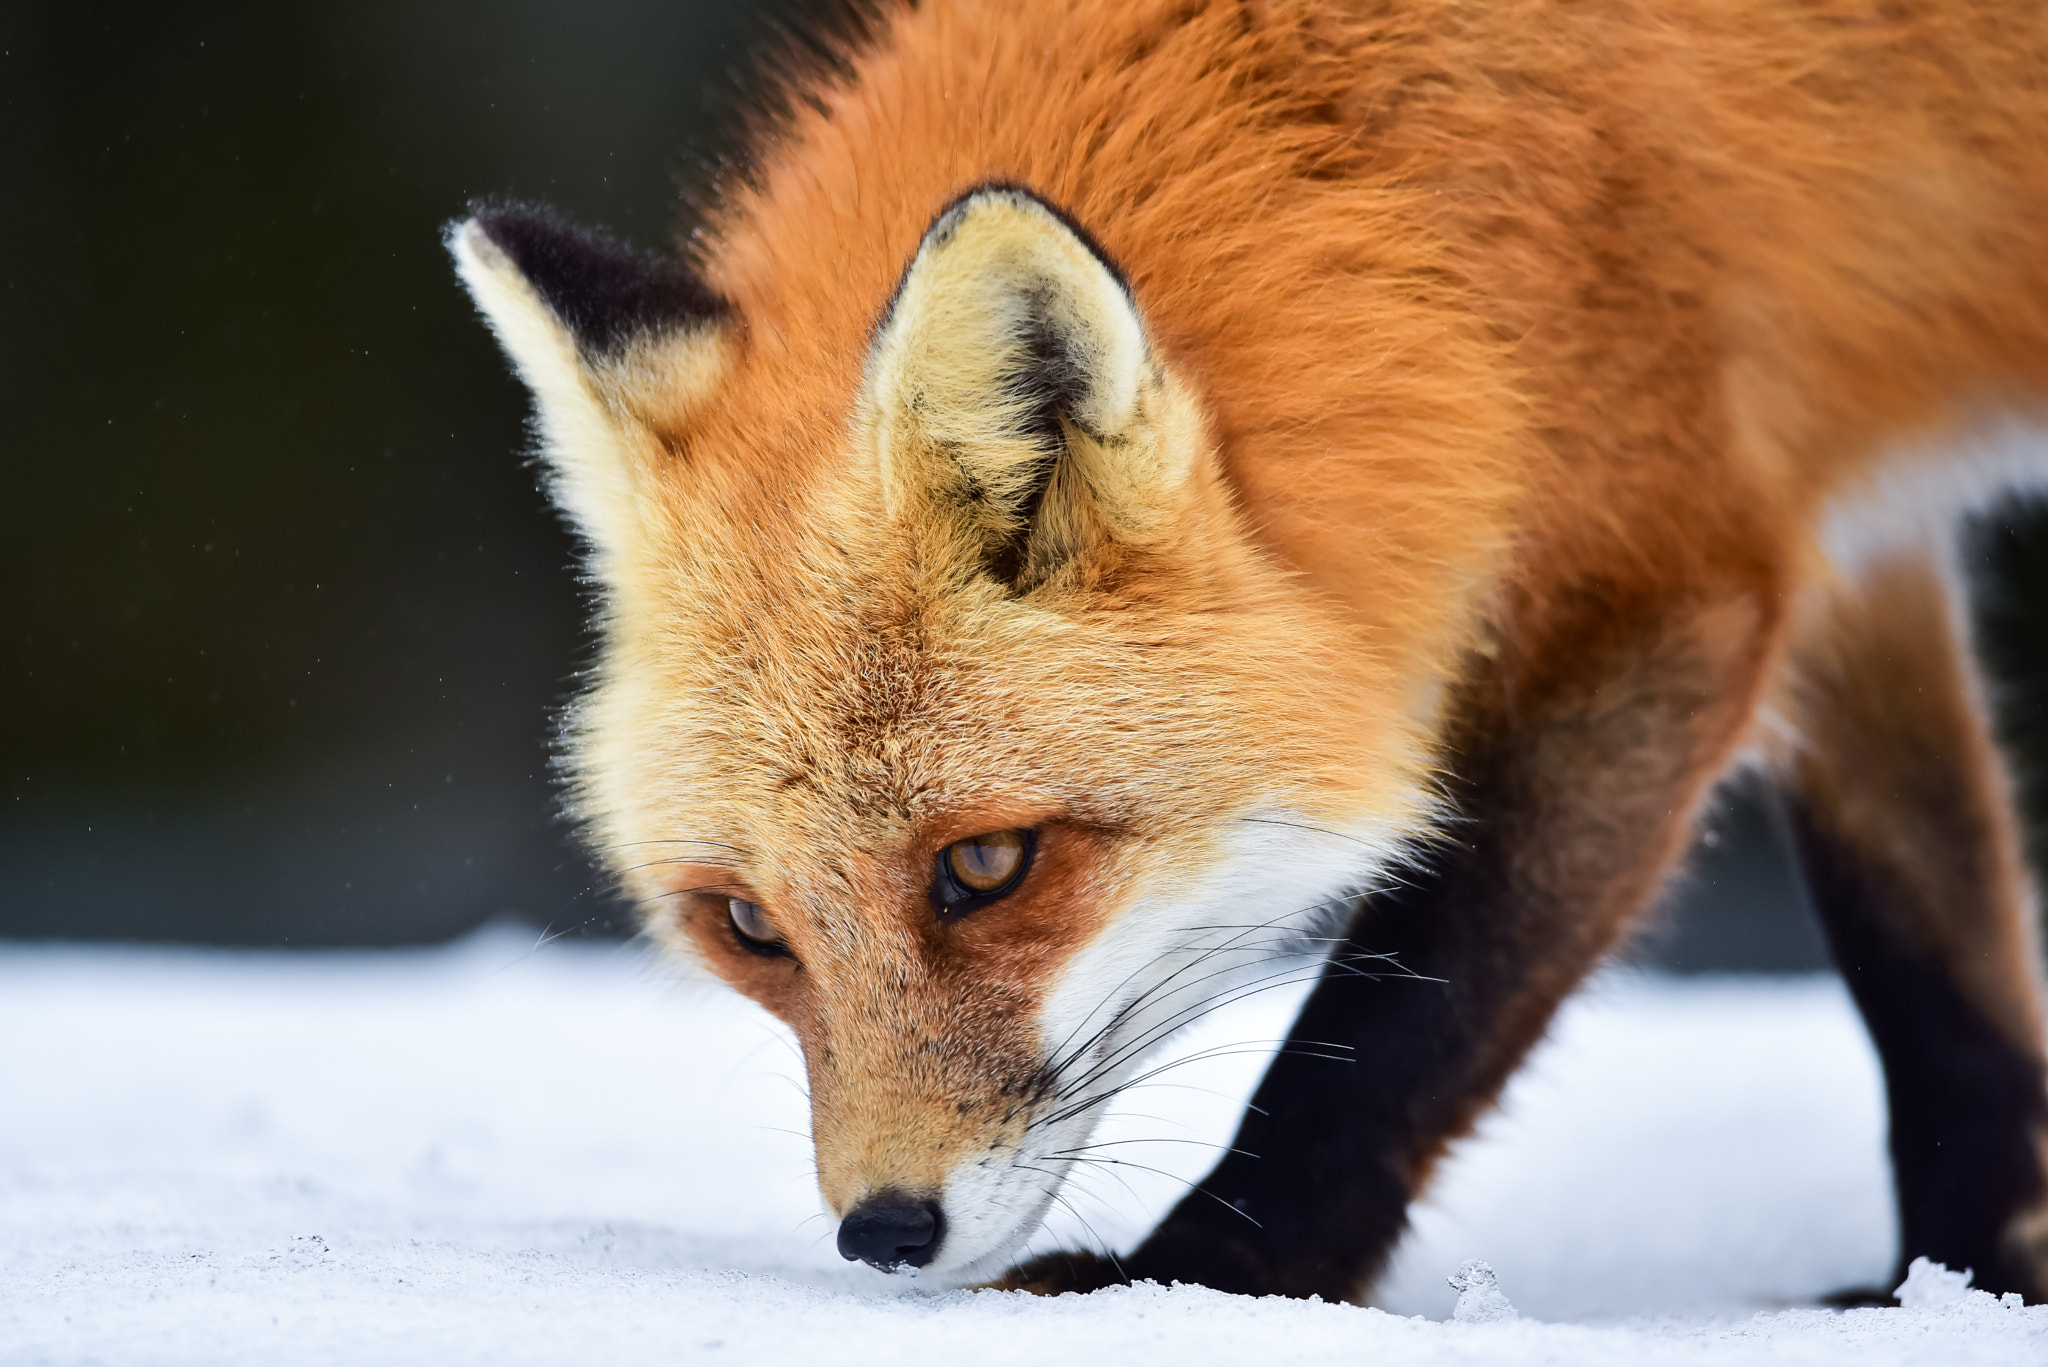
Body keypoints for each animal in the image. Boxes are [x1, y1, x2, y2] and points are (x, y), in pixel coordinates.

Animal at [450, 0, 2048, 1305]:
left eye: (986, 866)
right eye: (748, 925)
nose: (885, 1232)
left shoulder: (1667, 587)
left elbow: (1412, 1011)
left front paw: (1211, 1274)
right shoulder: (1845, 533)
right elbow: (1932, 949)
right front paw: (1966, 1269)